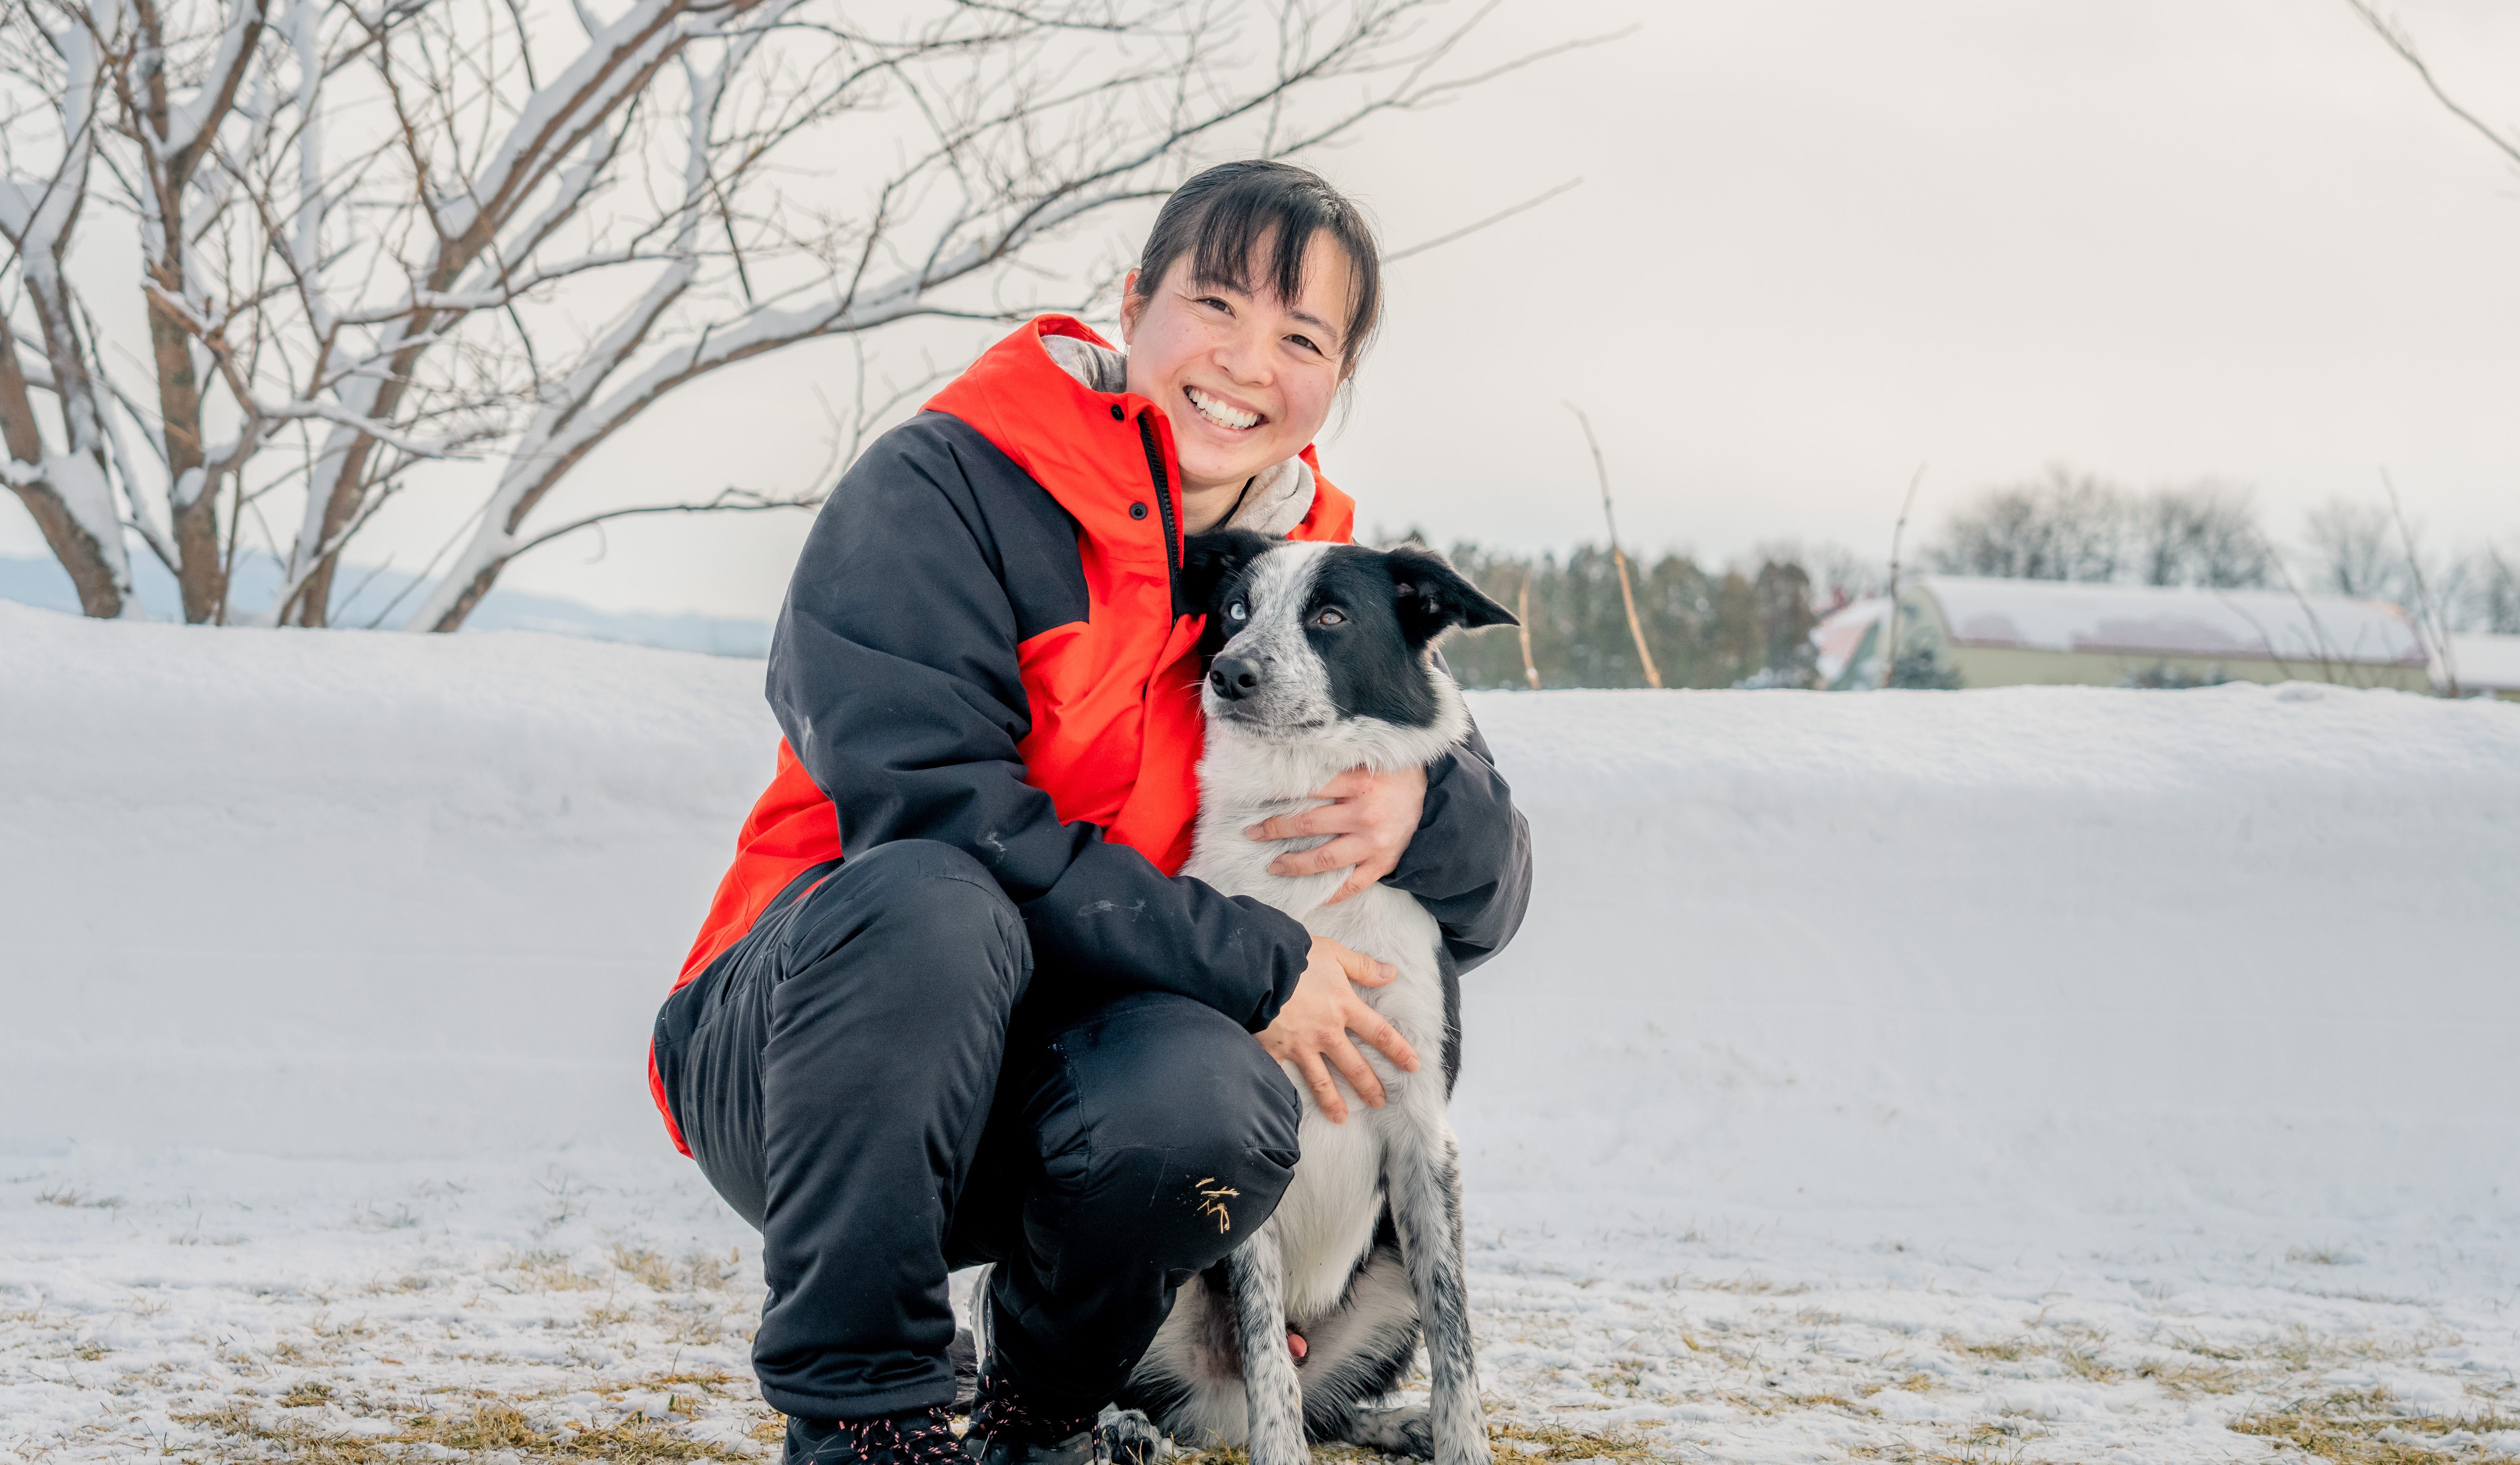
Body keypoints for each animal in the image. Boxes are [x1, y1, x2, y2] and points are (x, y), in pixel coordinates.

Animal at [1099, 532, 1512, 1462]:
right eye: (1235, 610)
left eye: (1330, 616)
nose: (1230, 673)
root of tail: (1207, 1412)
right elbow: (1265, 1356)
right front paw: (1276, 1449)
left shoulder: (1424, 1134)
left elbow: (1457, 1339)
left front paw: (1459, 1441)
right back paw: (1121, 1428)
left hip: (1387, 1277)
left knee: (1342, 1399)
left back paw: (1398, 1423)